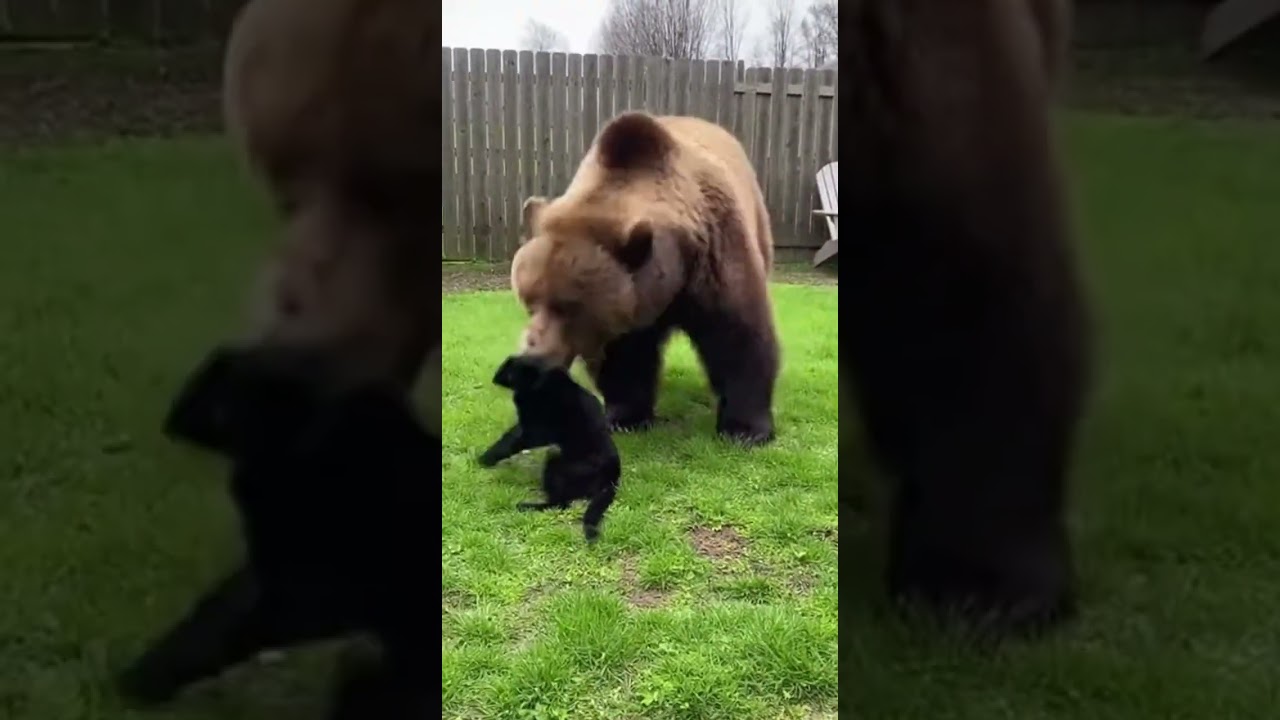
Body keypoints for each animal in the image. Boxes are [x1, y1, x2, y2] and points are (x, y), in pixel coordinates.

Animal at [117, 343, 436, 719]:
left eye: (206, 397)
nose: (169, 423)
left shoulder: (303, 594)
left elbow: (231, 629)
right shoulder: (268, 574)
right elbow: (214, 614)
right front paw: (145, 673)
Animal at [479, 354, 622, 542]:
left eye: (507, 369)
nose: (495, 378)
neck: (537, 380)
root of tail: (613, 476)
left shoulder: (535, 431)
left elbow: (510, 442)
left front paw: (485, 459)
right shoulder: (526, 425)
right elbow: (508, 436)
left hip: (556, 457)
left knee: (561, 503)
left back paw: (526, 506)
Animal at [512, 112, 780, 446]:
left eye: (569, 308)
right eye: (528, 303)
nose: (532, 355)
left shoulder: (716, 256)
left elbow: (739, 336)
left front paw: (745, 429)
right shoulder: (626, 307)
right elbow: (624, 358)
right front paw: (626, 417)